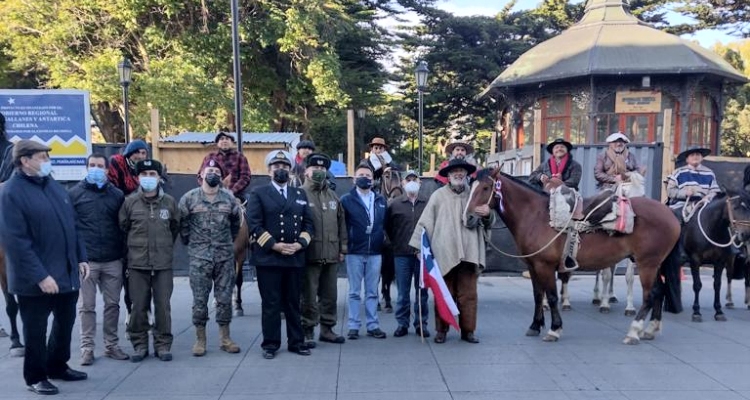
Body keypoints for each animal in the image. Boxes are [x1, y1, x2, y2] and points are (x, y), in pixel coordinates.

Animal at [470, 169, 688, 344]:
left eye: (486, 187)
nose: (470, 217)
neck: (537, 216)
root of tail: (669, 213)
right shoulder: (533, 266)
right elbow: (538, 295)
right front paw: (535, 325)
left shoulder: (545, 266)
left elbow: (551, 296)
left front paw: (554, 329)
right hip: (654, 264)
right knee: (659, 291)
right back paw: (650, 329)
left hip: (646, 264)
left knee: (650, 295)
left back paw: (633, 332)